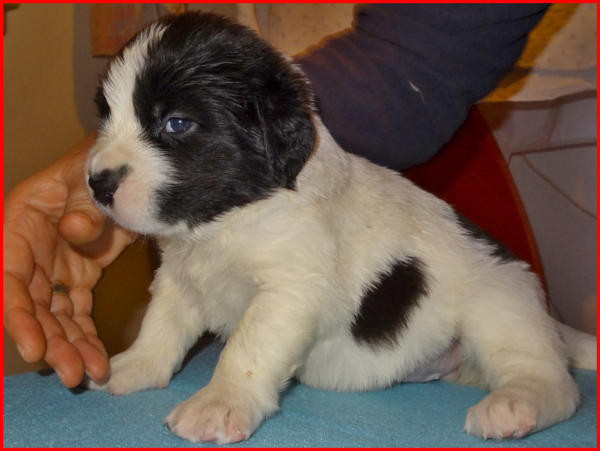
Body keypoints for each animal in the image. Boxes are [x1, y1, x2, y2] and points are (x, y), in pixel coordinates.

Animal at [85, 12, 596, 444]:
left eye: (176, 124)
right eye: (106, 116)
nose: (97, 182)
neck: (232, 215)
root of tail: (548, 322)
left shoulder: (288, 290)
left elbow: (247, 348)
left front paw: (218, 402)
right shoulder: (180, 278)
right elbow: (161, 325)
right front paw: (133, 366)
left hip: (498, 308)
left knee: (551, 380)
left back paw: (514, 404)